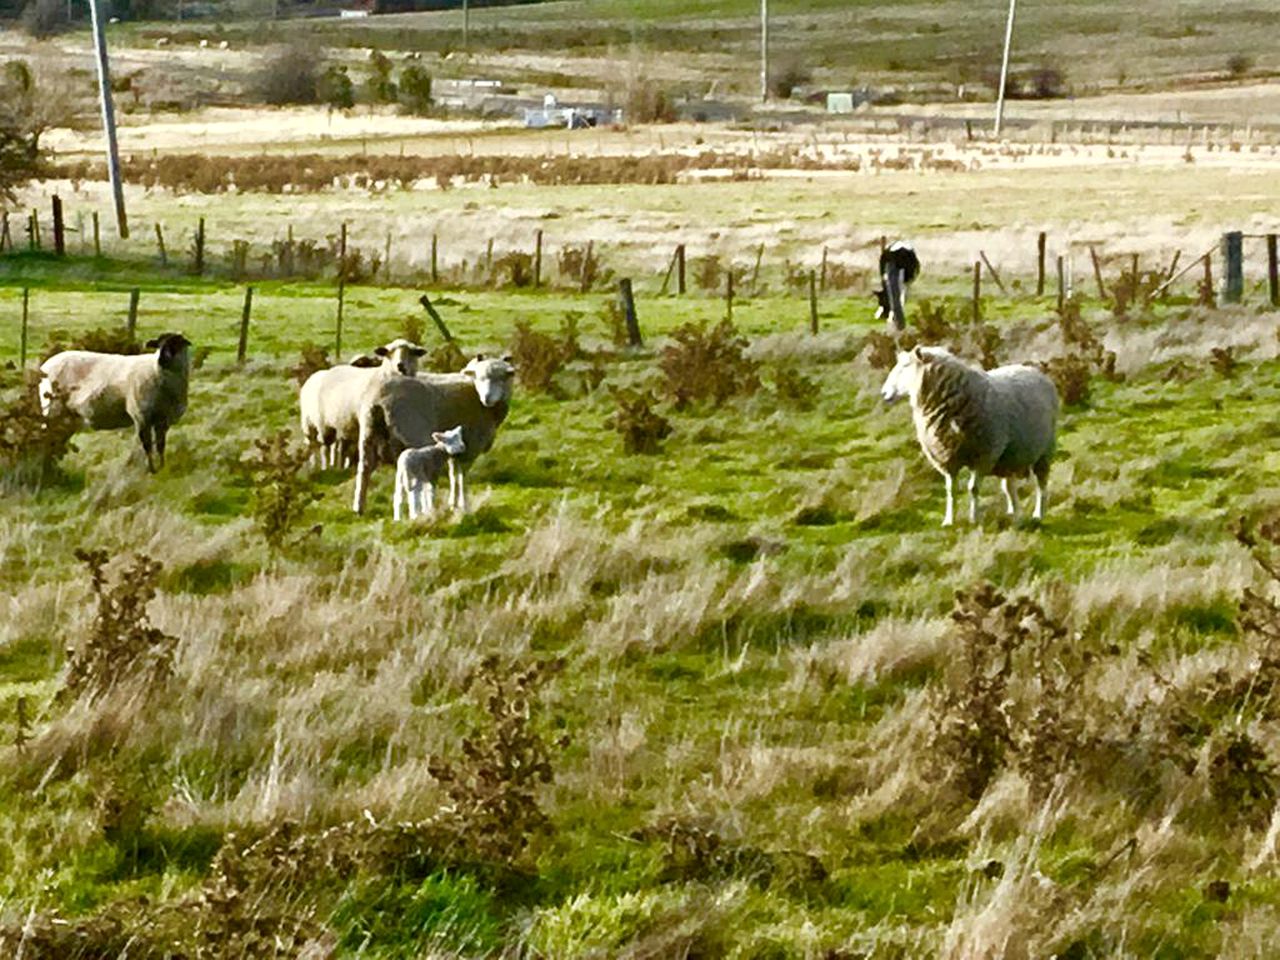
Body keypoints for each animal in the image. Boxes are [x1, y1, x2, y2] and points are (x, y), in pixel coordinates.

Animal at [39, 332, 192, 476]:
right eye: (159, 345)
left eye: (175, 344)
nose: (161, 360)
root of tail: (44, 366)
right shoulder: (141, 416)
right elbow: (147, 445)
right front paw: (151, 470)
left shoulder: (163, 419)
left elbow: (161, 445)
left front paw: (162, 468)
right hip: (52, 410)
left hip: (67, 418)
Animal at [299, 343, 424, 471]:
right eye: (389, 353)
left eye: (412, 352)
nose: (400, 366)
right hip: (317, 424)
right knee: (320, 446)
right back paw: (323, 467)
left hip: (343, 426)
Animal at [353, 355, 517, 519]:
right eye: (479, 377)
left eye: (501, 378)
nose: (487, 398)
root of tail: (378, 398)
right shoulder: (470, 447)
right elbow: (461, 477)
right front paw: (464, 506)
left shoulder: (455, 450)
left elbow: (453, 475)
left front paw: (453, 504)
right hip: (414, 435)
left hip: (368, 433)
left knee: (364, 469)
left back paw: (359, 508)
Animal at [880, 345, 1059, 527]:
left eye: (906, 365)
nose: (884, 393)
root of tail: (1032, 370)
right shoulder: (948, 459)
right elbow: (951, 490)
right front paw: (949, 520)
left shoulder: (984, 455)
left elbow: (973, 488)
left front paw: (974, 518)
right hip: (1009, 456)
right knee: (1009, 486)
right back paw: (1014, 514)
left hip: (1045, 451)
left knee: (1041, 485)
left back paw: (1038, 514)